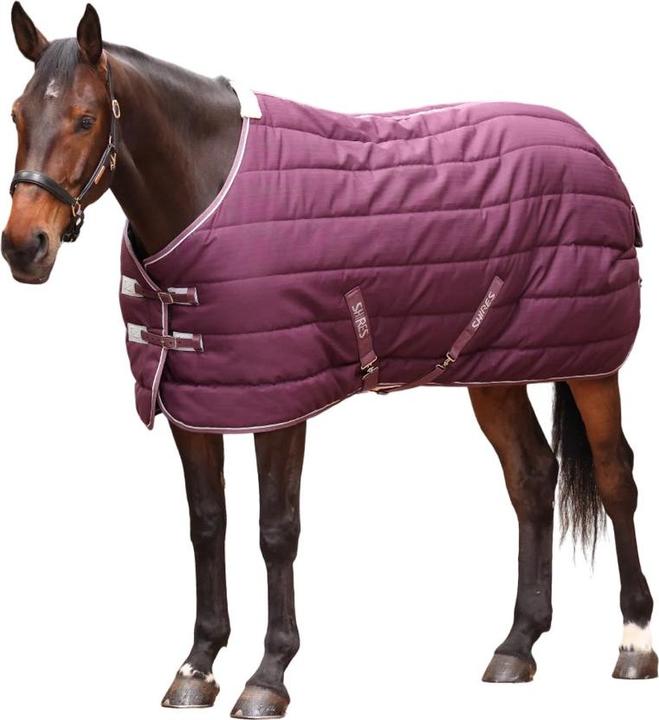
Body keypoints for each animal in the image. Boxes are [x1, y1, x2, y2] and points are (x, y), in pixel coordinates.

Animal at [3, 3, 656, 716]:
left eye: (85, 118)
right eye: (17, 114)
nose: (24, 246)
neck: (210, 189)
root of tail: (591, 148)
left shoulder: (281, 404)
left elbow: (275, 531)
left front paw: (268, 675)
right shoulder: (194, 404)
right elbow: (207, 523)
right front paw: (198, 664)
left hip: (592, 364)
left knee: (615, 476)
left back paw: (632, 642)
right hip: (493, 370)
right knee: (534, 478)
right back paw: (517, 645)